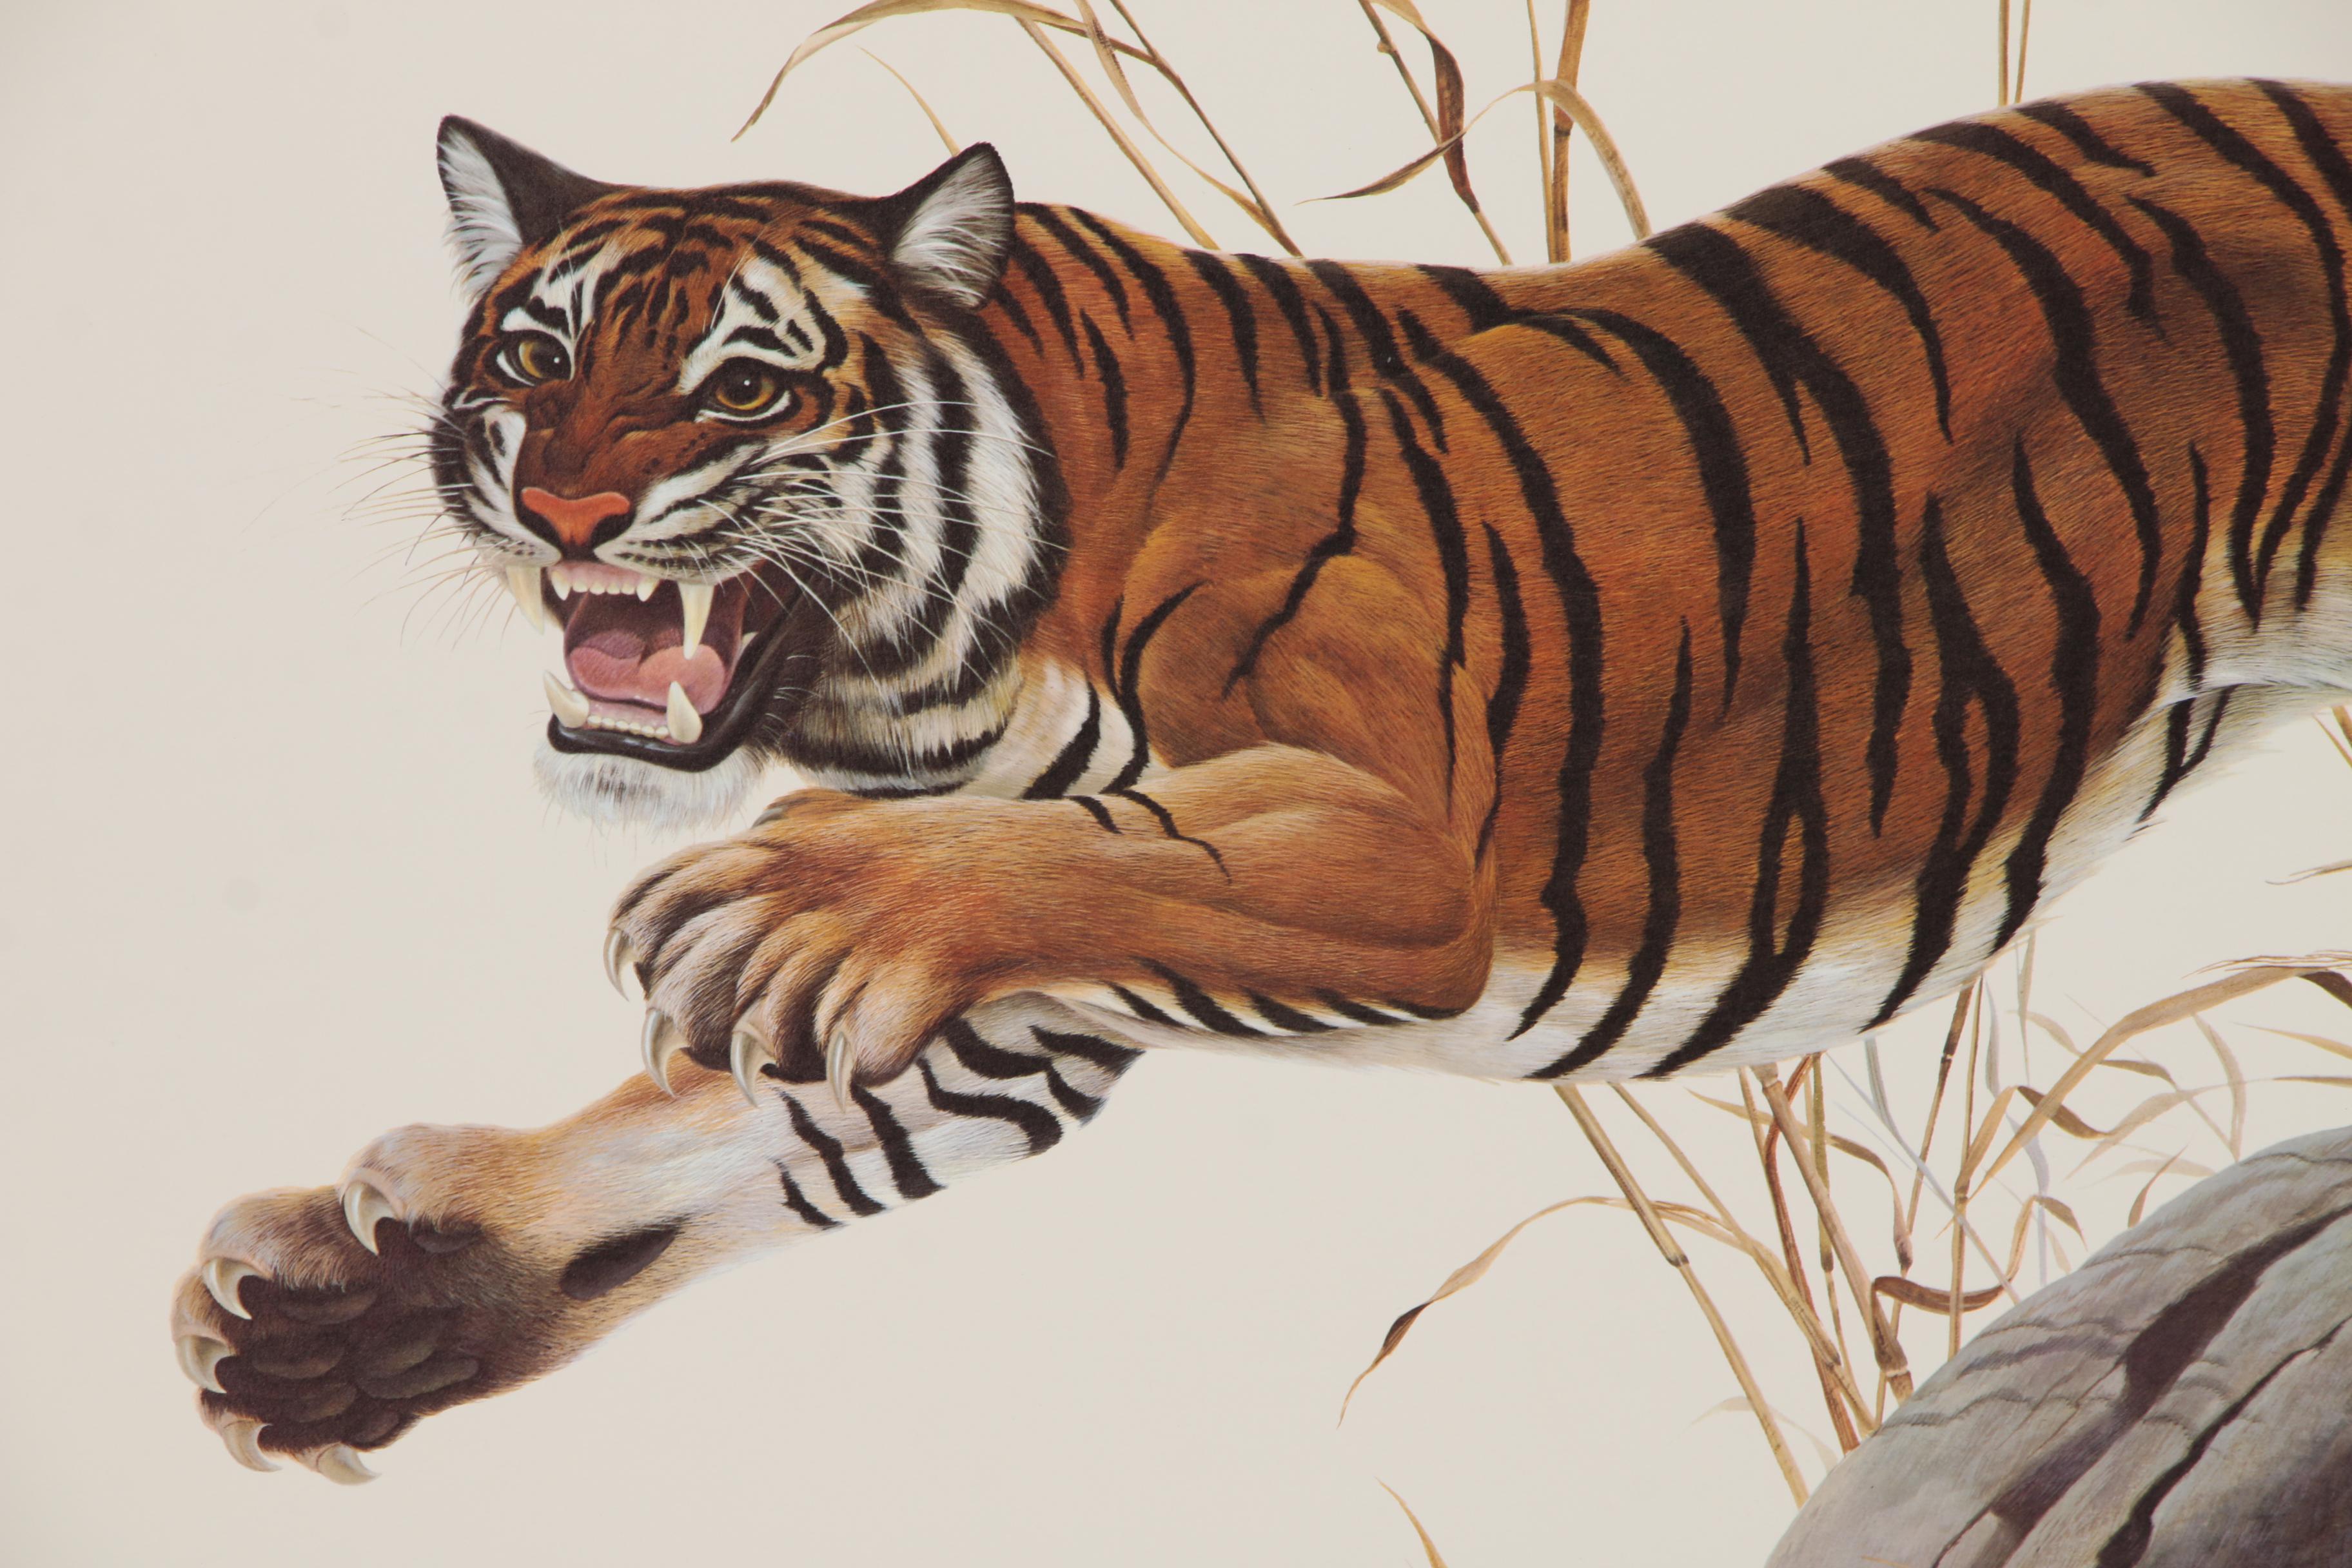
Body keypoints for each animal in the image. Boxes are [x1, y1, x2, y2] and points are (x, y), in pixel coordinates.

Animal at [172, 79, 2352, 1482]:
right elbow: (733, 1138)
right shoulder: (1021, 1028)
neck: (943, 677)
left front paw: (784, 886)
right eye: (533, 358)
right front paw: (364, 1313)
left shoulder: (1407, 843)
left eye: (742, 384)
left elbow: (1086, 854)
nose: (564, 510)